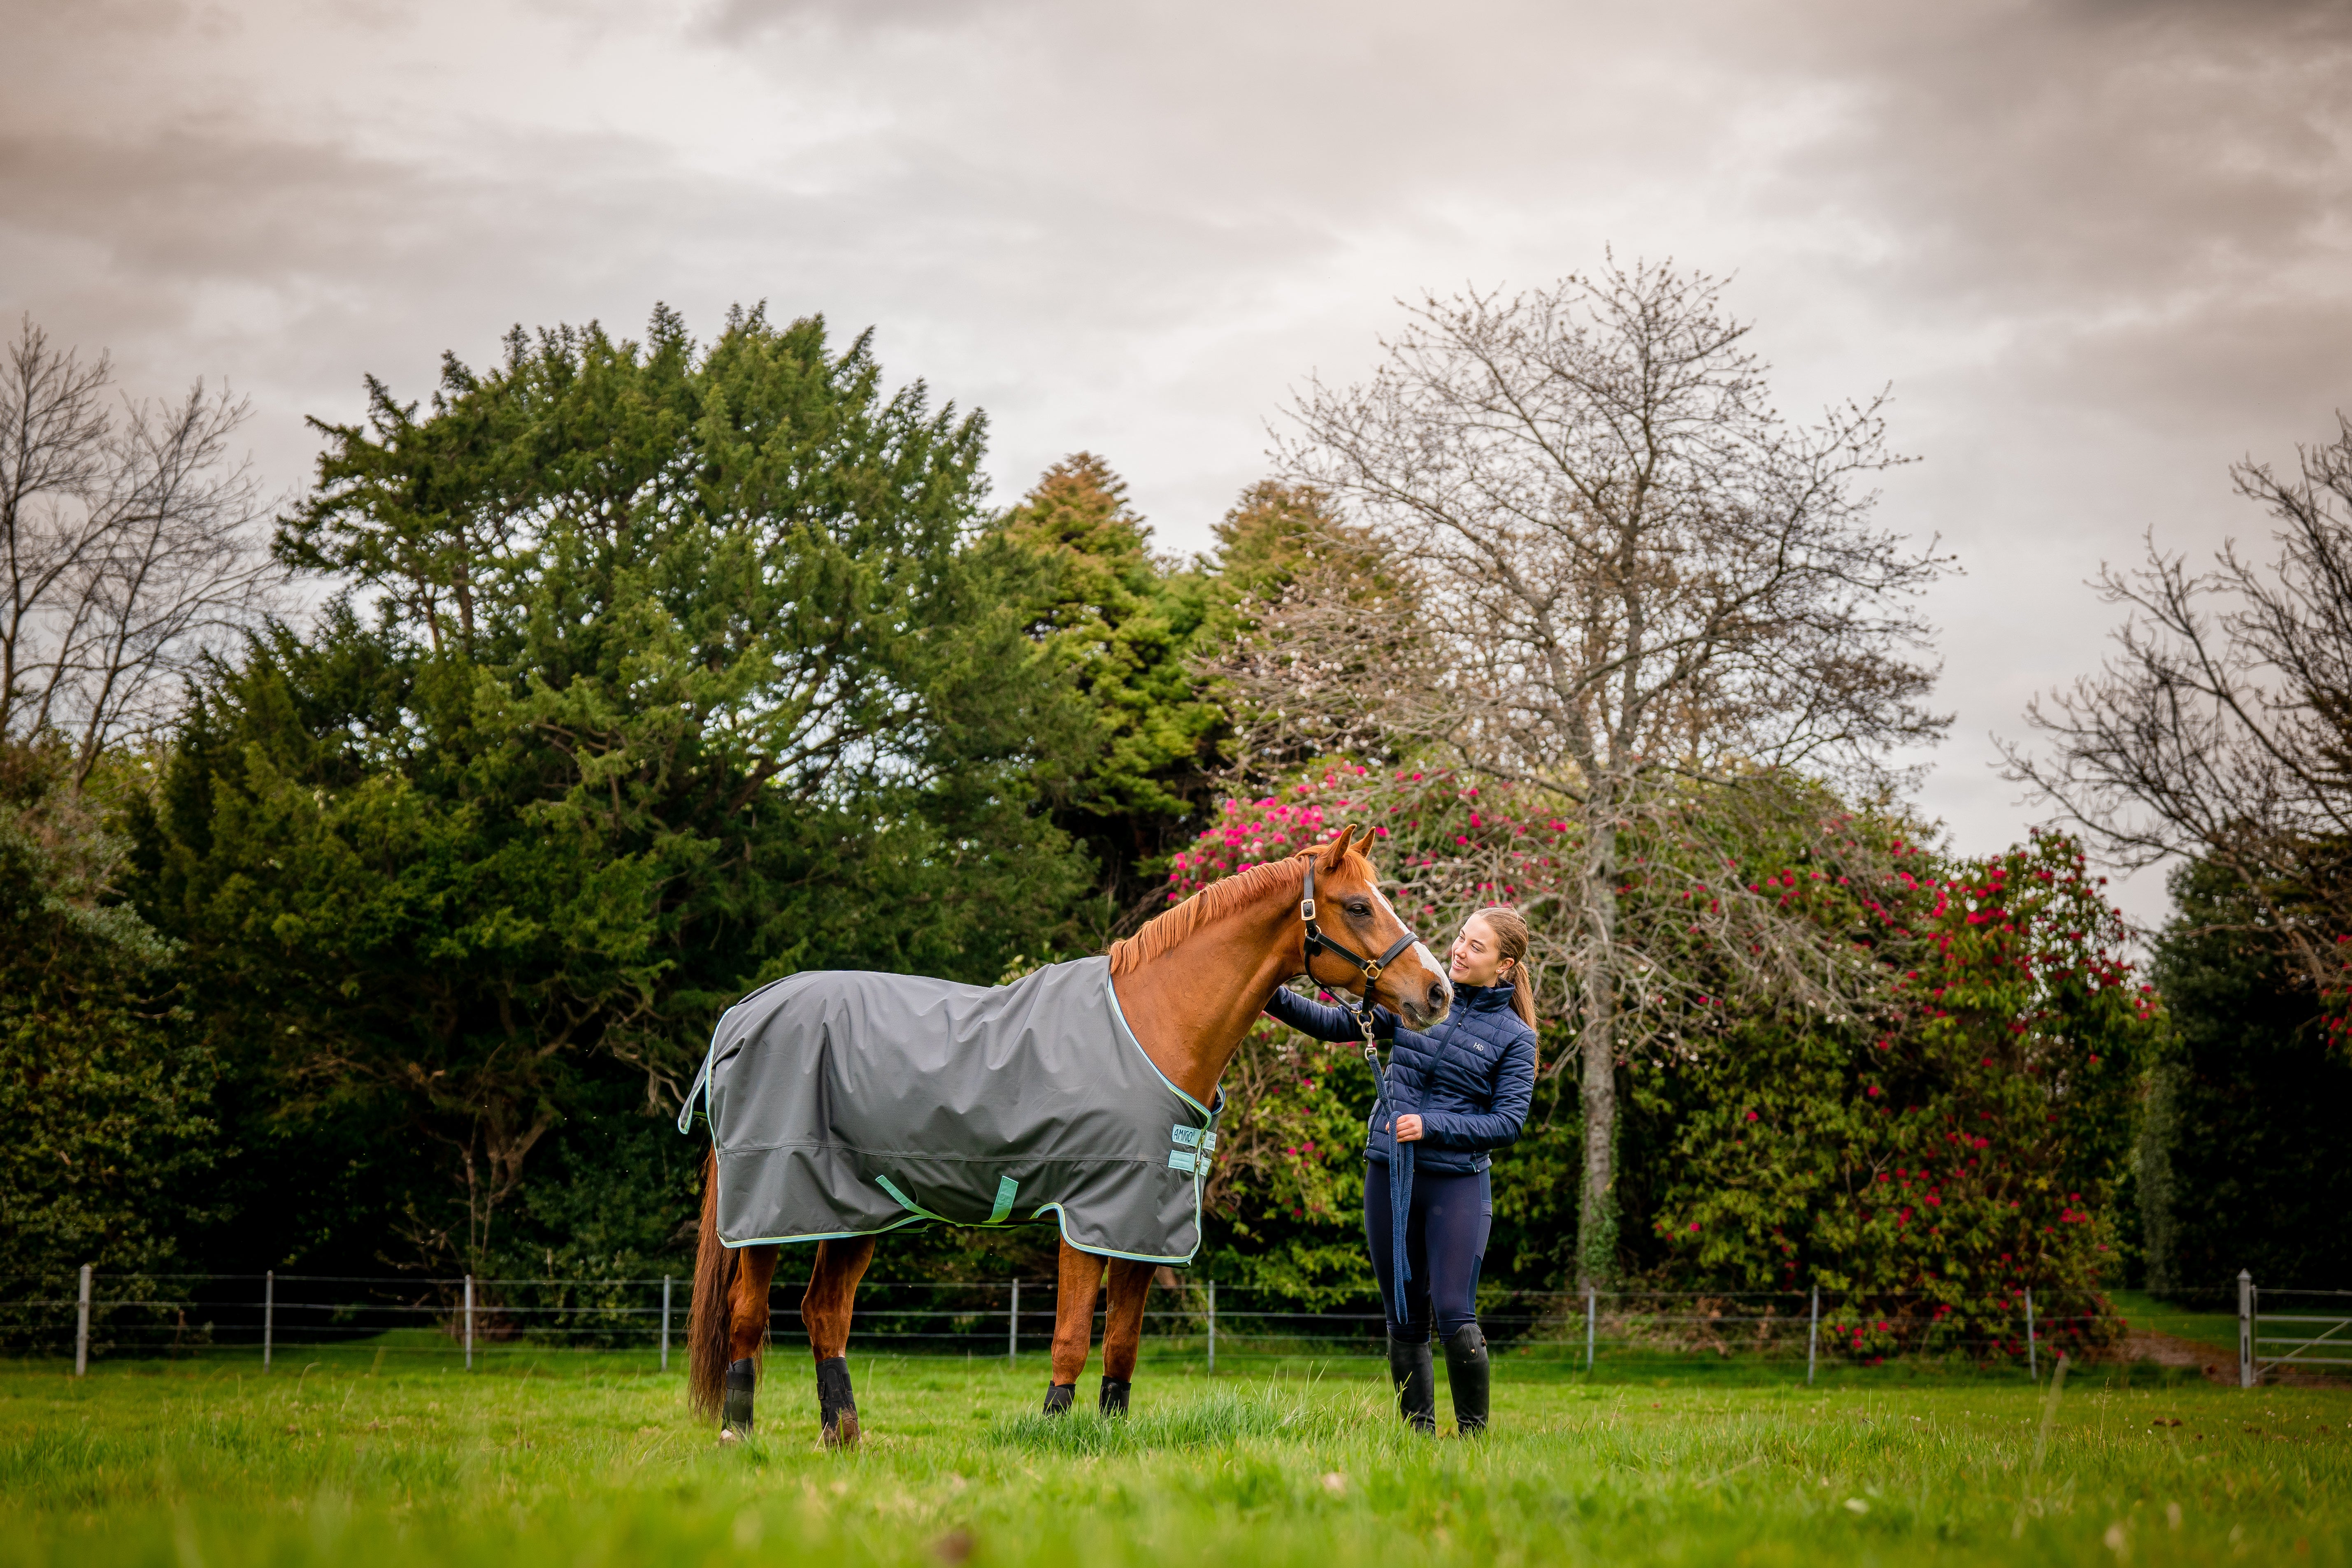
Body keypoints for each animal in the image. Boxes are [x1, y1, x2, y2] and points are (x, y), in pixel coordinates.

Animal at [683, 823, 1451, 1445]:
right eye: (1359, 906)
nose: (1437, 992)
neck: (1154, 1024)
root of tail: (744, 1014)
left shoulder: (1144, 1219)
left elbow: (1122, 1345)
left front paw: (1109, 1433)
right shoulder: (1086, 1211)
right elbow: (1072, 1338)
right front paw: (1054, 1431)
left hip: (856, 1209)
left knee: (824, 1314)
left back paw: (843, 1435)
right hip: (775, 1205)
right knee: (749, 1313)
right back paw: (738, 1432)